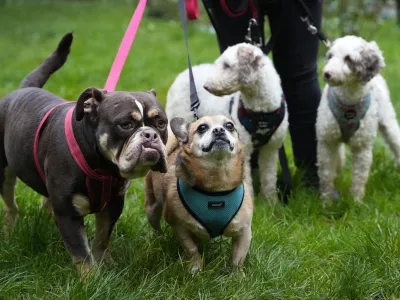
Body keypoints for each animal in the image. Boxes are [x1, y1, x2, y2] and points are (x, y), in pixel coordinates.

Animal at [145, 115, 253, 274]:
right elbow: (192, 250)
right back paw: (158, 240)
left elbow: (238, 258)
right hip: (152, 209)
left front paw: (237, 275)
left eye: (229, 126)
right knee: (156, 227)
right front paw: (195, 268)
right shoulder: (180, 227)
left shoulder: (244, 231)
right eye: (202, 128)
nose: (219, 130)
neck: (217, 186)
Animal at [166, 42, 288, 202]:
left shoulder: (271, 148)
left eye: (227, 65)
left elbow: (269, 177)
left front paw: (271, 202)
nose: (206, 86)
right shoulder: (244, 148)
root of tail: (183, 74)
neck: (261, 113)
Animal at [316, 37, 400, 202]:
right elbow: (326, 174)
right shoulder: (327, 142)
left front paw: (356, 201)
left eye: (348, 58)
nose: (327, 74)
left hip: (389, 122)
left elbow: (359, 178)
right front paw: (327, 201)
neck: (348, 101)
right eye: (330, 56)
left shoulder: (363, 146)